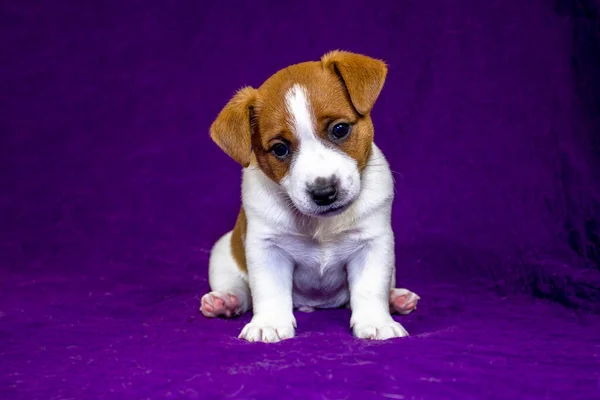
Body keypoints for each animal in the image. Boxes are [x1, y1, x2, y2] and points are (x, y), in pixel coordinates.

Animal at [199, 50, 420, 344]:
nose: (324, 192)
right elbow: (269, 291)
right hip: (223, 252)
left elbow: (370, 288)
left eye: (340, 129)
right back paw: (225, 301)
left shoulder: (372, 244)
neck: (321, 225)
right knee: (240, 289)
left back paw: (396, 299)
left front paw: (376, 321)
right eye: (280, 149)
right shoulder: (268, 249)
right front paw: (269, 323)